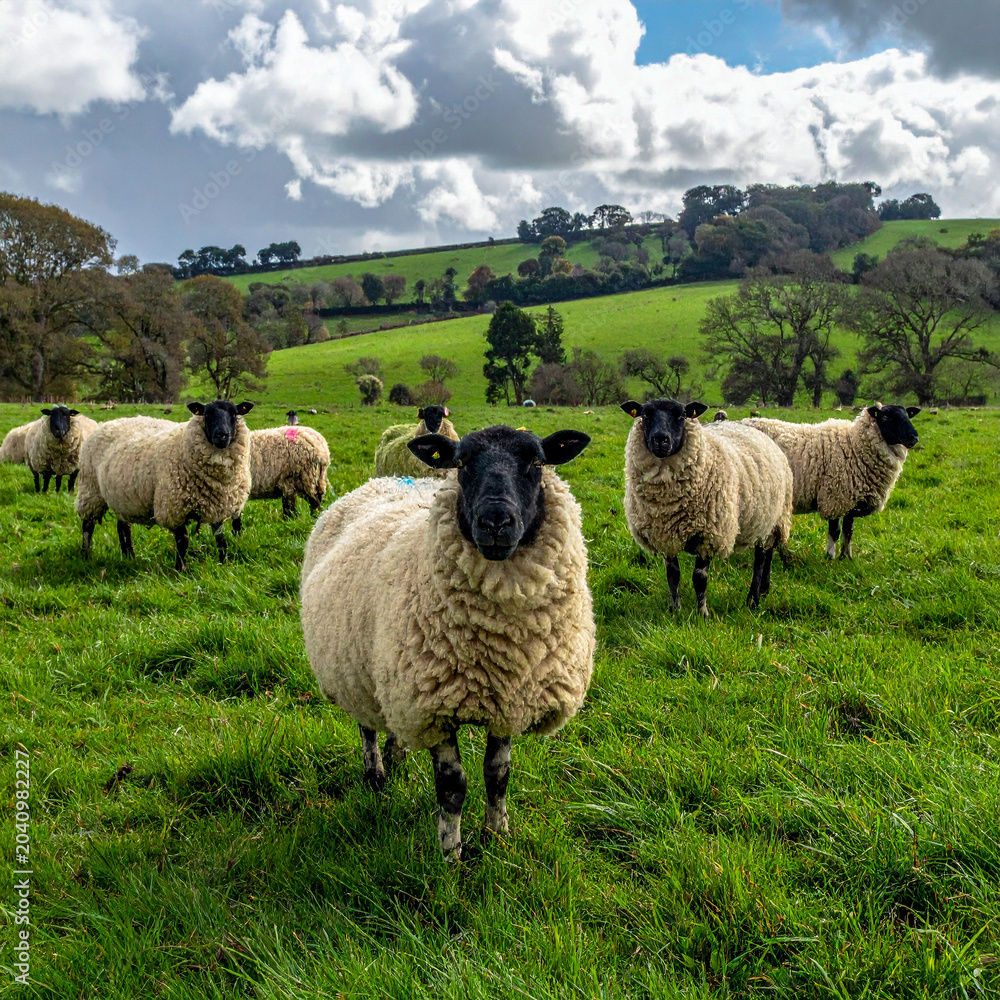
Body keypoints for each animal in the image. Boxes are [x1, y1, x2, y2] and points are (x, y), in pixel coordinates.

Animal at [75, 400, 254, 570]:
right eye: (207, 414)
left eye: (234, 413)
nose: (221, 435)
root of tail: (108, 423)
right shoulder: (173, 507)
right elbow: (183, 540)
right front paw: (180, 569)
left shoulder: (217, 505)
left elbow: (220, 538)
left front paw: (223, 563)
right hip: (90, 490)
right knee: (88, 525)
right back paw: (85, 555)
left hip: (124, 497)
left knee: (123, 527)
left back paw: (129, 557)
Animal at [301, 424, 594, 861]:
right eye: (462, 463)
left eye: (536, 462)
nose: (495, 521)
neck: (503, 641)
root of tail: (384, 480)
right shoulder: (434, 709)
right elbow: (453, 788)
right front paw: (450, 855)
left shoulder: (508, 699)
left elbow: (497, 775)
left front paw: (496, 835)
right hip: (355, 668)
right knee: (367, 727)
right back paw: (376, 776)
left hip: (395, 676)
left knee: (393, 726)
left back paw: (396, 761)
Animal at [622, 398, 793, 616]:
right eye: (645, 414)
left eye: (681, 416)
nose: (660, 439)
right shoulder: (665, 535)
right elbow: (673, 575)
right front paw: (675, 610)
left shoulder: (709, 534)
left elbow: (699, 578)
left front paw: (702, 614)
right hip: (765, 520)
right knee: (768, 552)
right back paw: (764, 590)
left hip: (769, 518)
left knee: (760, 559)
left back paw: (753, 601)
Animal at [743, 404, 920, 559]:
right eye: (885, 416)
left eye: (908, 415)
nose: (914, 437)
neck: (855, 445)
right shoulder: (835, 497)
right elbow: (835, 531)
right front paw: (830, 557)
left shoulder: (851, 502)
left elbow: (848, 531)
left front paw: (846, 557)